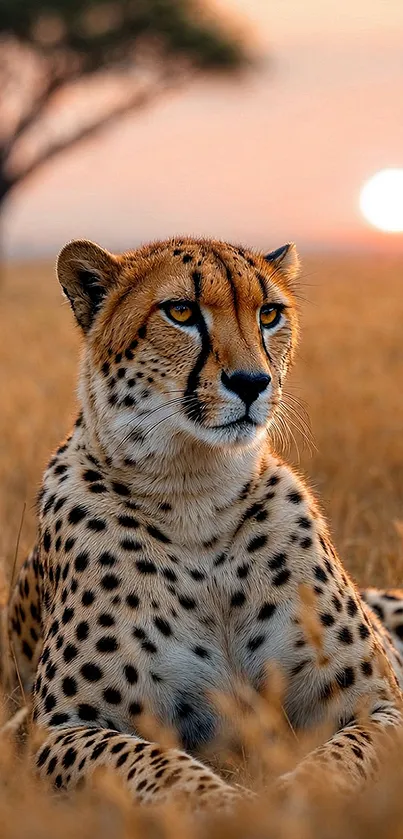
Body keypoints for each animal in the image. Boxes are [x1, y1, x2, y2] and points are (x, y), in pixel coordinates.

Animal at [7, 235, 403, 808]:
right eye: (181, 312)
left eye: (268, 313)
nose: (252, 382)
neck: (197, 497)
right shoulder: (58, 729)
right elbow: (153, 763)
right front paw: (228, 807)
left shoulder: (379, 703)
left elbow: (338, 762)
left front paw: (285, 802)